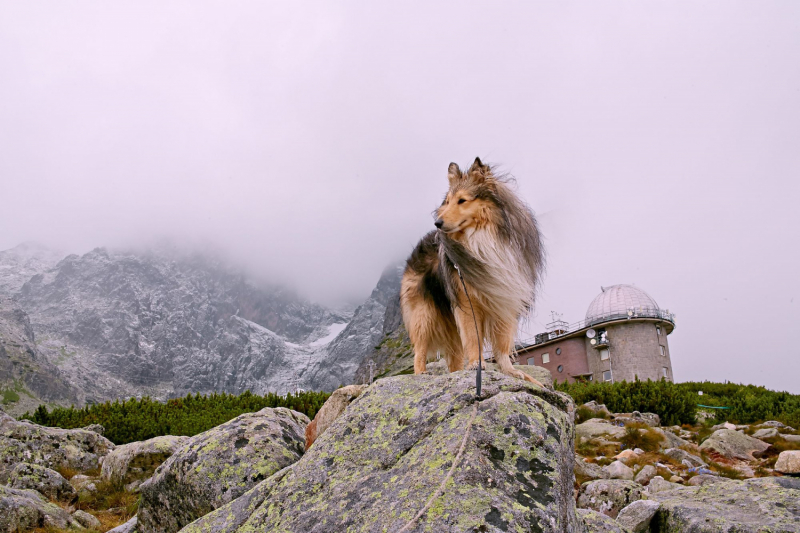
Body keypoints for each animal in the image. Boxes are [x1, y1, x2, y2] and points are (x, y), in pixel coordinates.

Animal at [398, 158, 544, 386]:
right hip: (424, 314)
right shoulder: (467, 301)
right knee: (419, 349)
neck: (481, 236)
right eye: (448, 201)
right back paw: (421, 372)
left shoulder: (505, 297)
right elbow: (473, 338)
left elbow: (502, 342)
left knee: (454, 357)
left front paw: (510, 370)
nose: (437, 223)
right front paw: (476, 364)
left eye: (462, 200)